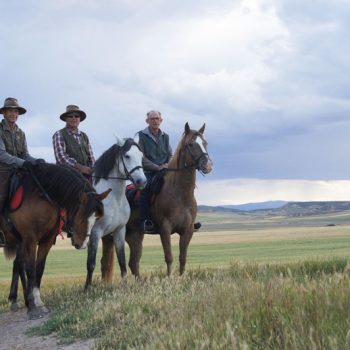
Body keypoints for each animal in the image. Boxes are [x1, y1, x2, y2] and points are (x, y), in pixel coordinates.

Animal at [0, 164, 110, 320]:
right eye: (83, 215)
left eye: (96, 218)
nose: (82, 244)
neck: (41, 195)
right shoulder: (29, 240)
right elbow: (30, 270)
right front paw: (33, 307)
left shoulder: (46, 240)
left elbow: (39, 269)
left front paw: (37, 301)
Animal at [84, 135, 146, 288]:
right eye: (127, 156)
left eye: (141, 155)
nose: (142, 181)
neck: (113, 198)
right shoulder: (95, 233)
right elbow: (91, 263)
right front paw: (87, 288)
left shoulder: (119, 230)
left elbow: (122, 260)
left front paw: (124, 285)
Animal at [100, 122, 212, 278]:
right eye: (190, 144)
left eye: (205, 143)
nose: (207, 165)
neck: (180, 194)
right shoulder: (165, 229)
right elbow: (169, 257)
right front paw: (169, 278)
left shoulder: (187, 230)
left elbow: (183, 258)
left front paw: (181, 277)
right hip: (110, 236)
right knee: (106, 263)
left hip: (134, 235)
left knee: (133, 262)